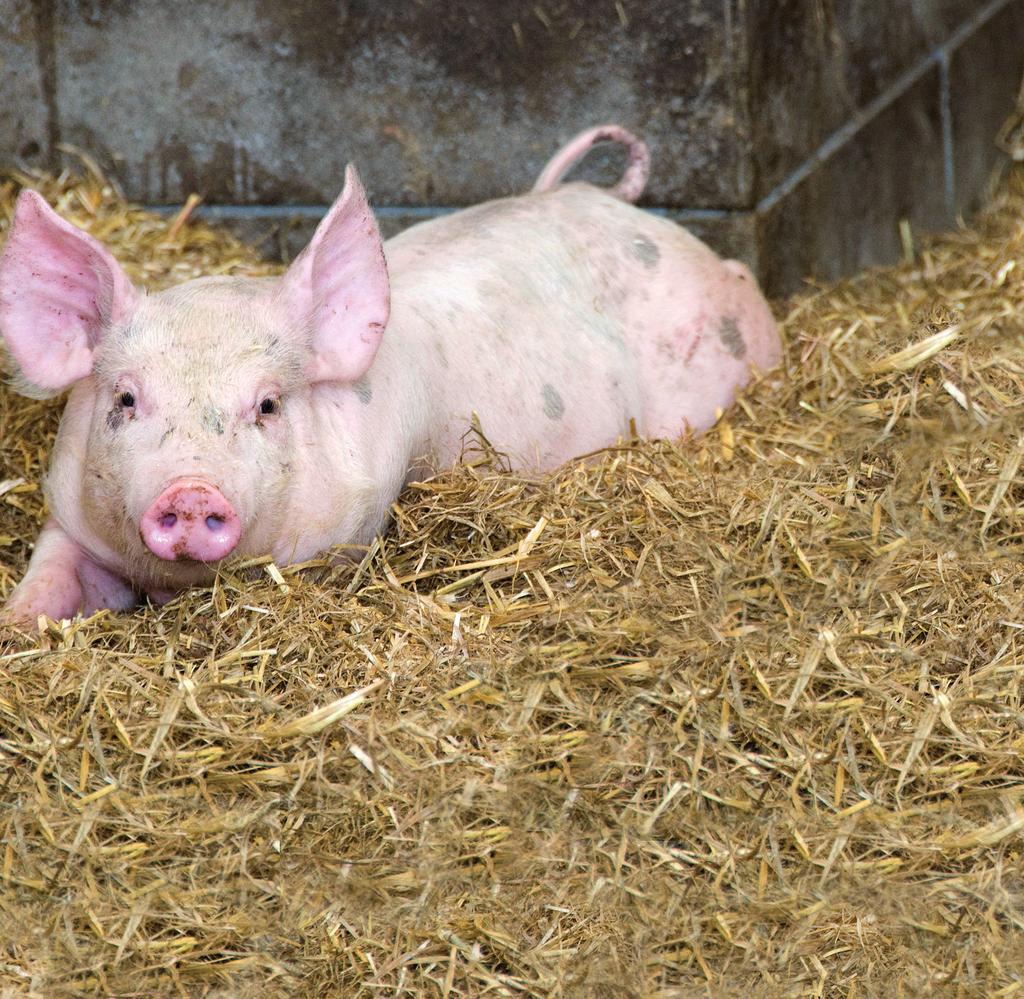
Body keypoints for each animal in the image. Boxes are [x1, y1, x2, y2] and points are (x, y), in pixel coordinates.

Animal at [0, 124, 774, 622]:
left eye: (269, 405)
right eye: (127, 398)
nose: (190, 492)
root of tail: (611, 200)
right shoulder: (69, 514)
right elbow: (46, 581)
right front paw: (20, 629)